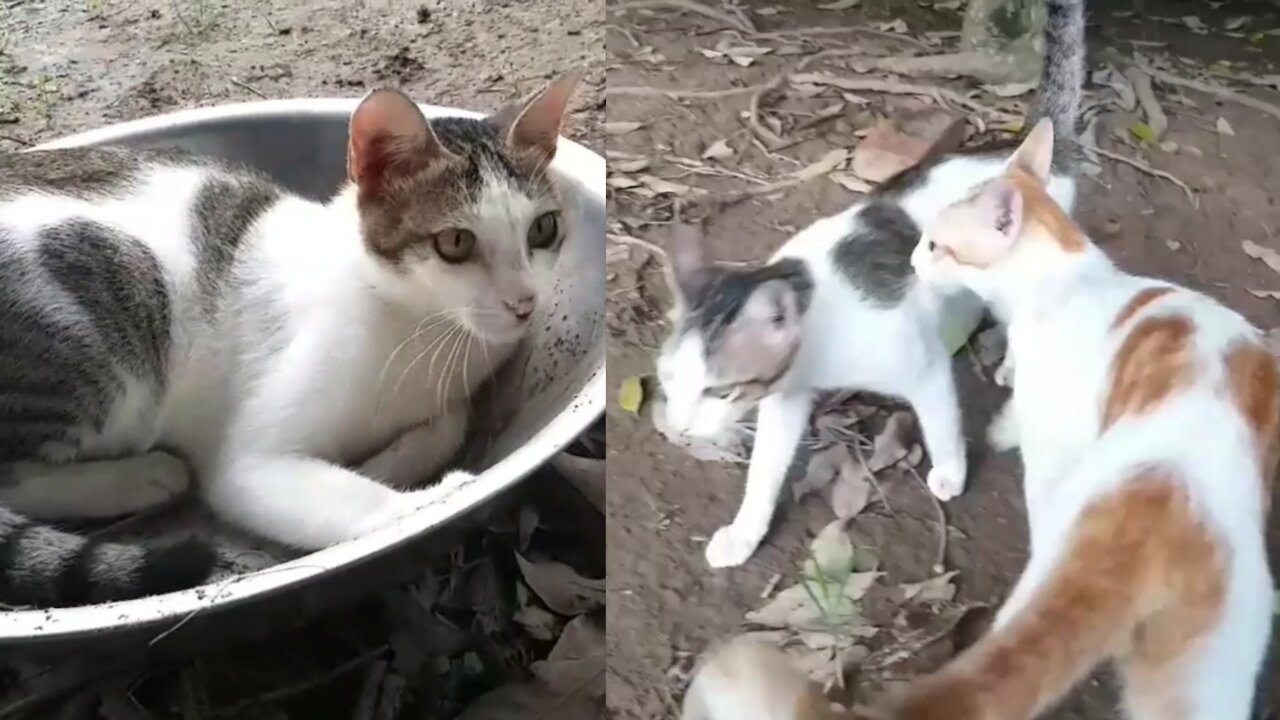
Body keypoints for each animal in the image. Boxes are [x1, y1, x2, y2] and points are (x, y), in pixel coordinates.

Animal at [0, 73, 576, 602]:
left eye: (542, 230)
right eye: (455, 242)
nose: (524, 301)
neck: (421, 327)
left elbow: (448, 424)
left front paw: (385, 461)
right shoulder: (248, 462)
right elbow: (342, 497)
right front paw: (426, 499)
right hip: (109, 304)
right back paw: (142, 476)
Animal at [655, 2, 1085, 568]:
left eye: (718, 390)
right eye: (668, 381)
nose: (679, 431)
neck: (818, 342)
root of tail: (1024, 160)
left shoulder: (922, 368)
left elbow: (942, 422)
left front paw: (951, 473)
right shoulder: (787, 396)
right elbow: (765, 470)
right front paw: (746, 531)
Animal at [691, 120, 1280, 712]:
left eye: (935, 244)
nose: (911, 262)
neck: (1067, 281)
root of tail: (1166, 510)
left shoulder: (1054, 430)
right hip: (1207, 668)